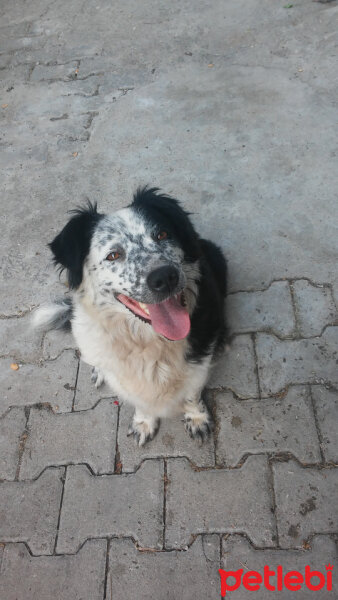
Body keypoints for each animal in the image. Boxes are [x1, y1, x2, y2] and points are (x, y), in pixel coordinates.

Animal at [34, 188, 227, 446]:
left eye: (162, 234)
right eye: (113, 255)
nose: (165, 277)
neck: (149, 342)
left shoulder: (199, 362)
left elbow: (192, 394)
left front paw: (196, 418)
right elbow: (138, 399)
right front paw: (144, 422)